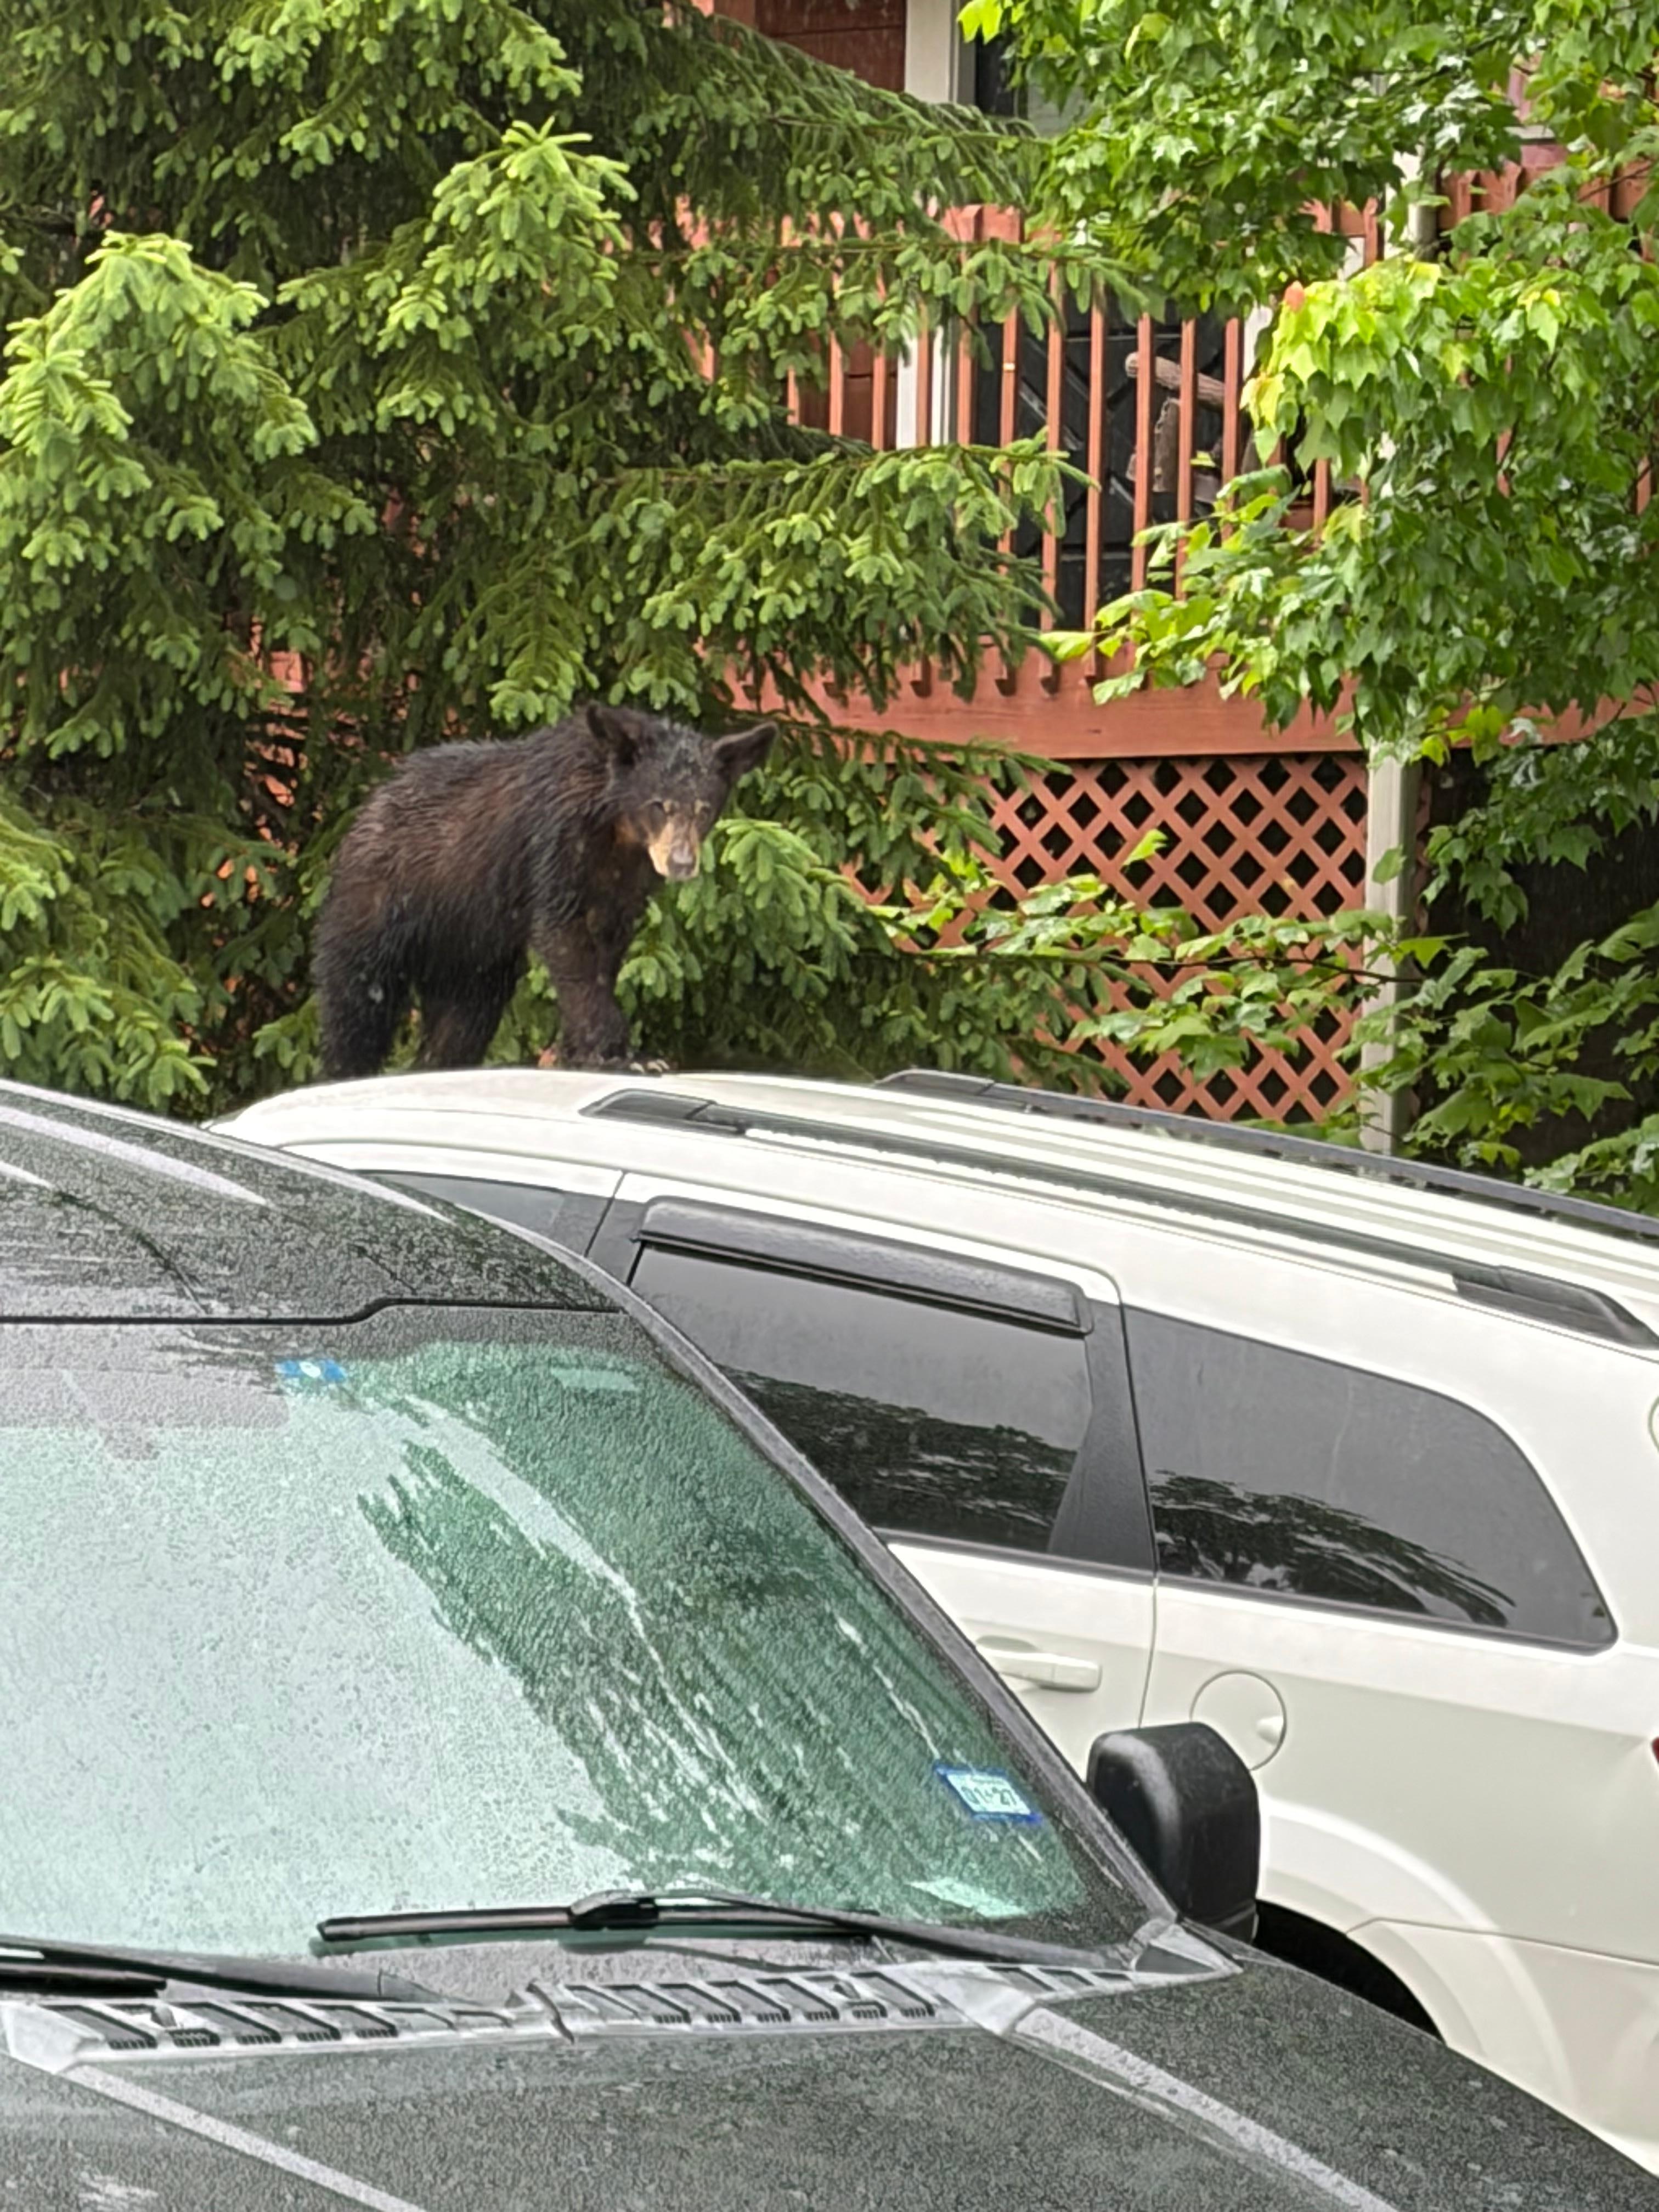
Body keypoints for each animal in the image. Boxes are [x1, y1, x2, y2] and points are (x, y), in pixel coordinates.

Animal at [312, 703, 775, 1080]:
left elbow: (607, 952)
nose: (681, 863)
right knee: (357, 1001)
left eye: (704, 809)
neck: (615, 829)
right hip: (377, 902)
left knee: (465, 1019)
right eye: (659, 805)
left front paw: (581, 1050)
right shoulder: (555, 845)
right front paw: (622, 1054)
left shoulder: (624, 885)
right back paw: (345, 1071)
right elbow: (565, 940)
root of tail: (364, 812)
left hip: (471, 955)